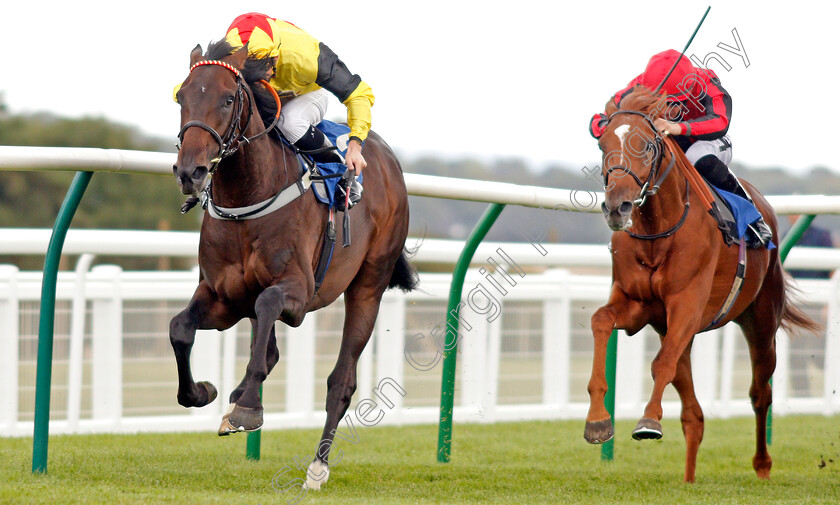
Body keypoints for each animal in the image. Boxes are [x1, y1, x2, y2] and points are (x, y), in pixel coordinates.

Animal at [169, 42, 416, 488]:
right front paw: (204, 392)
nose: (189, 171)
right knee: (266, 348)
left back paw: (317, 467)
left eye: (227, 99)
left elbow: (269, 304)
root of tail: (386, 155)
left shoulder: (299, 293)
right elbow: (180, 328)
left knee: (342, 380)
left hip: (369, 284)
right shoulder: (221, 298)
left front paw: (247, 407)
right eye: (182, 97)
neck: (247, 198)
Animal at [584, 85, 812, 480]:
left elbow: (660, 364)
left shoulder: (687, 307)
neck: (658, 229)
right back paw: (689, 479)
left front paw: (648, 422)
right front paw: (598, 421)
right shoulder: (638, 305)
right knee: (694, 414)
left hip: (761, 319)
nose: (617, 207)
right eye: (602, 145)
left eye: (647, 146)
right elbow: (600, 320)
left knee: (759, 393)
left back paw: (763, 465)